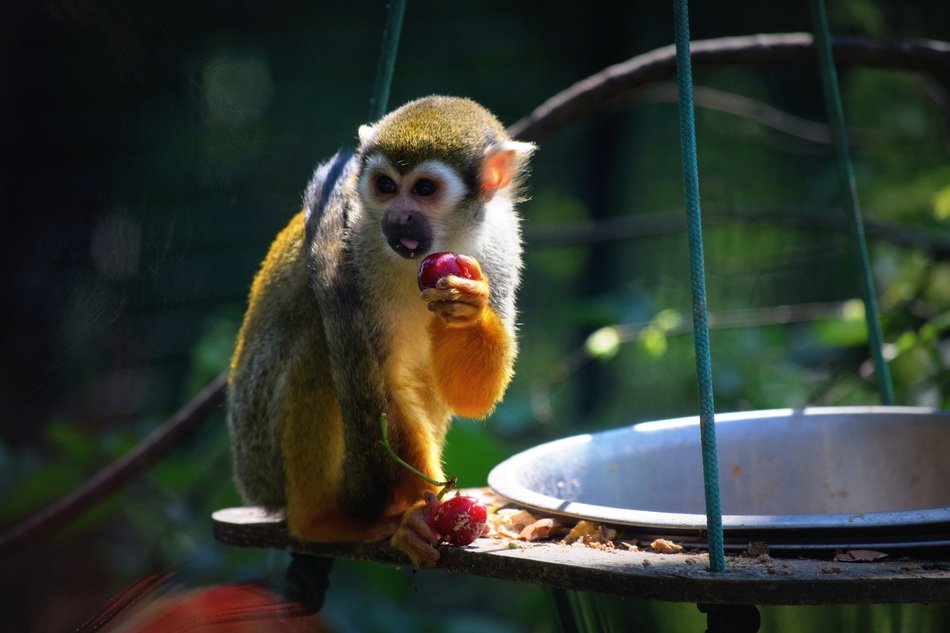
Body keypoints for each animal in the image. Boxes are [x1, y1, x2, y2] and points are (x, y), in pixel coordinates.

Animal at [226, 96, 535, 566]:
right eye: (386, 185)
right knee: (320, 347)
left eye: (424, 189)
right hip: (259, 450)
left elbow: (470, 397)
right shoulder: (352, 246)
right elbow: (387, 383)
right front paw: (421, 513)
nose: (399, 217)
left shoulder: (501, 244)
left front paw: (468, 307)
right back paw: (323, 521)